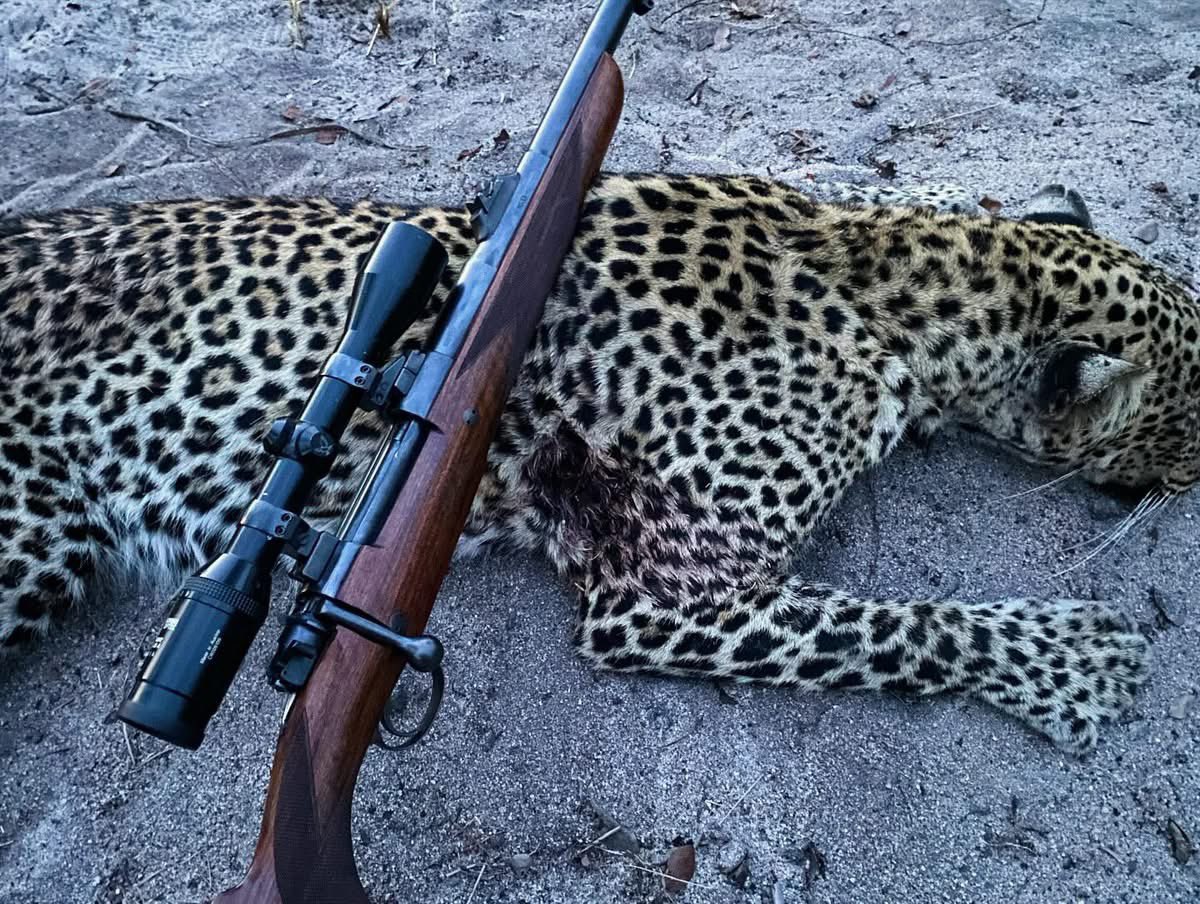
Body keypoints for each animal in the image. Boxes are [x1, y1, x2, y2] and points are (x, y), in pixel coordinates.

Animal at [1, 172, 1196, 755]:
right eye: (1192, 428)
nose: (1187, 494)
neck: (891, 280)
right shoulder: (660, 592)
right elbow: (895, 629)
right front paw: (1074, 663)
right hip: (27, 552)